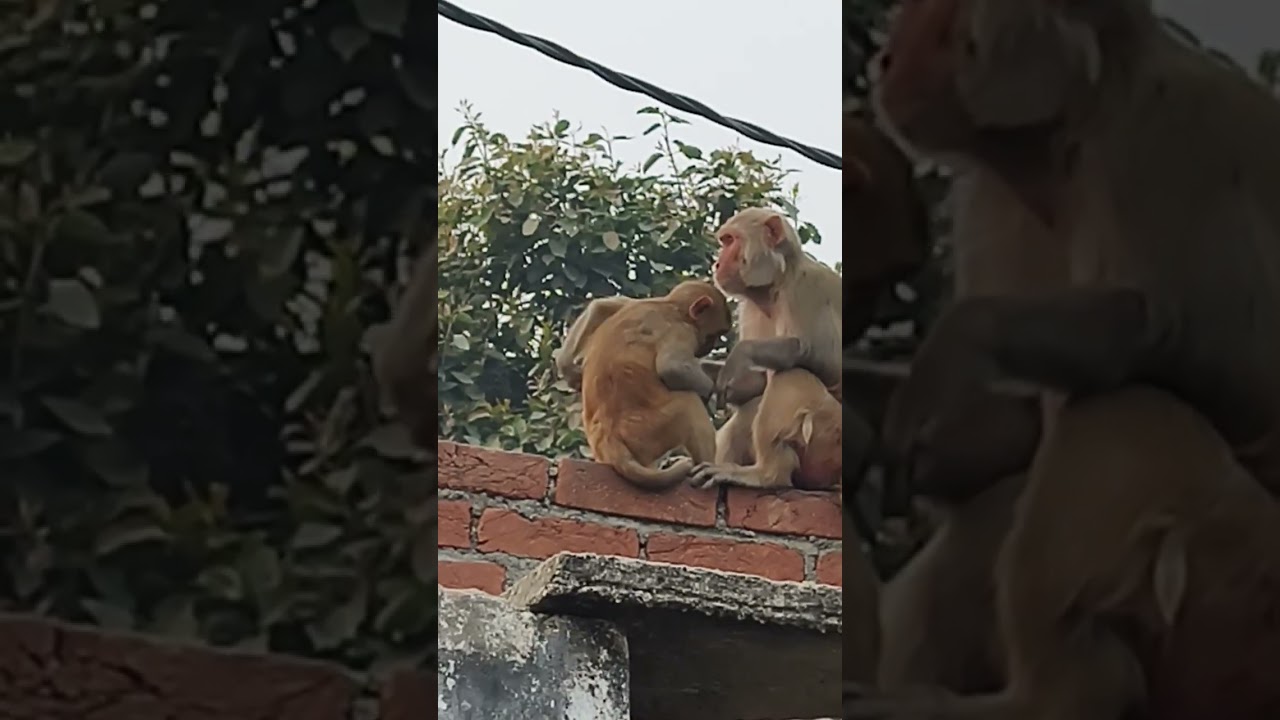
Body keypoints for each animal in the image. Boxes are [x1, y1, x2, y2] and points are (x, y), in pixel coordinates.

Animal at [576, 280, 731, 490]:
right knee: (688, 402)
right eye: (714, 335)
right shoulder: (681, 330)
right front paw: (710, 393)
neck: (670, 306)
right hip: (647, 431)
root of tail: (609, 439)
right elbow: (672, 368)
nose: (710, 346)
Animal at [844, 0, 1280, 717]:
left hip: (1240, 601)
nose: (884, 59)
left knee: (1124, 408)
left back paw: (1056, 695)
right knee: (995, 501)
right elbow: (1007, 427)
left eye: (933, 21)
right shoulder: (994, 204)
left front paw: (965, 338)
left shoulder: (1165, 139)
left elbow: (1216, 354)